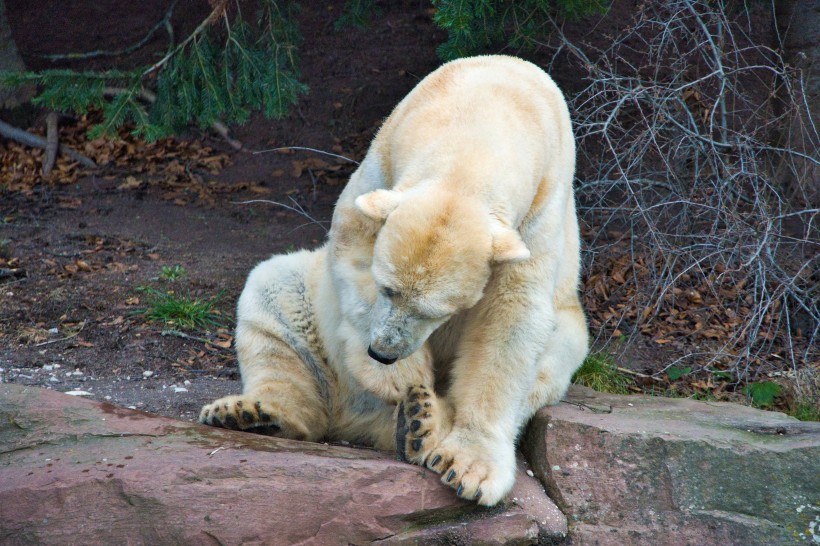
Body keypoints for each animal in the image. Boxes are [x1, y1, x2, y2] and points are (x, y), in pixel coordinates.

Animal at [200, 56, 588, 506]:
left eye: (438, 311)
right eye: (387, 288)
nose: (383, 353)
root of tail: (353, 416)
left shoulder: (538, 213)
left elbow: (511, 316)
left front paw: (470, 467)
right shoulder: (383, 160)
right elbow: (353, 244)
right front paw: (400, 377)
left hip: (570, 327)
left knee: (556, 350)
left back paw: (422, 424)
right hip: (312, 306)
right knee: (274, 297)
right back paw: (258, 413)